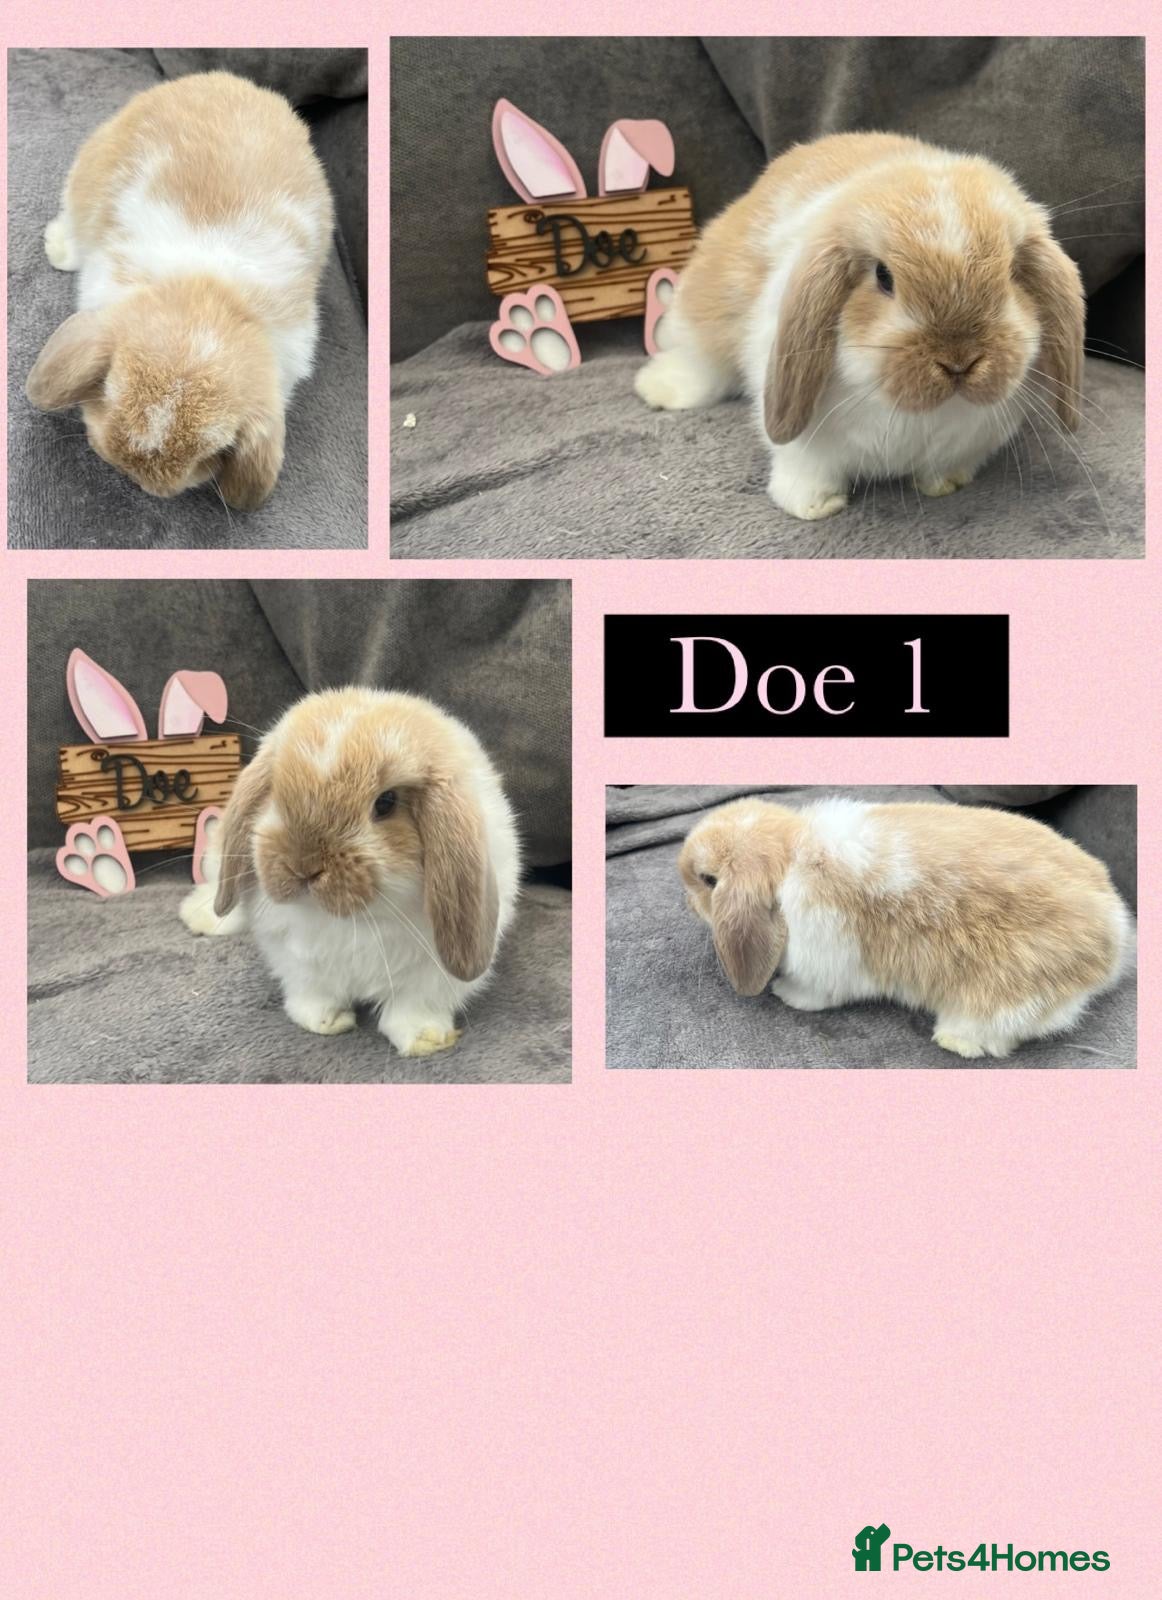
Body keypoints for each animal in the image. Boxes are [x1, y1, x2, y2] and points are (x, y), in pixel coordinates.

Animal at [26, 71, 334, 510]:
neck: (210, 295)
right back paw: (59, 249)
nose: (137, 475)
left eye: (214, 450)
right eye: (108, 387)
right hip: (90, 168)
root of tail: (217, 79)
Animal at [179, 688, 520, 1058]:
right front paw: (324, 1021)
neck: (356, 921)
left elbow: (413, 1007)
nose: (302, 866)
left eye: (386, 802)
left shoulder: (432, 973)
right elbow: (312, 993)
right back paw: (201, 917)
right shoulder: (295, 959)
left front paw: (425, 1040)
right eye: (277, 793)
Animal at [635, 131, 1085, 522]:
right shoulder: (804, 449)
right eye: (884, 277)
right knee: (699, 362)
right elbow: (805, 474)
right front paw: (815, 507)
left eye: (1011, 273)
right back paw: (657, 389)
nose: (959, 361)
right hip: (705, 314)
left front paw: (945, 485)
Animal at [679, 796, 1133, 1059]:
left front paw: (786, 994)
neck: (790, 856)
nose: (685, 899)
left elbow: (816, 993)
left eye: (708, 879)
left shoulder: (827, 961)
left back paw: (955, 1041)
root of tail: (1115, 934)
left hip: (1006, 990)